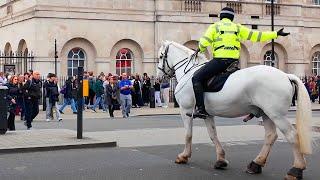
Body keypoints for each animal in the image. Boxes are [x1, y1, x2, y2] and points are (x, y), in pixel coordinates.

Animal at [158, 40, 312, 180]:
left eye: (160, 56)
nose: (160, 78)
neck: (189, 72)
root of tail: (286, 75)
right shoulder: (207, 114)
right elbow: (213, 135)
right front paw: (221, 159)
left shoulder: (186, 110)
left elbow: (188, 134)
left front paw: (184, 156)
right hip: (267, 114)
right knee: (270, 136)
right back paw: (256, 164)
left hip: (276, 115)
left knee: (292, 135)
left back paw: (296, 169)